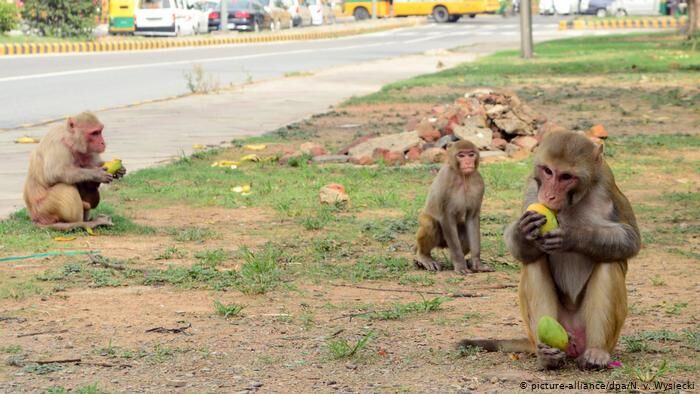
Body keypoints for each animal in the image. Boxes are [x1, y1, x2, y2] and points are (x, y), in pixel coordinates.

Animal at [416, 141, 492, 274]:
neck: (463, 177)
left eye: (471, 154)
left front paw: (476, 262)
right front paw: (460, 265)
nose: (468, 162)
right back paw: (424, 257)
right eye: (461, 156)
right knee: (429, 223)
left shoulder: (479, 183)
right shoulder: (446, 180)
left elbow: (472, 218)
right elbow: (446, 217)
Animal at [460, 131, 640, 370]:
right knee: (534, 262)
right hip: (542, 330)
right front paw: (523, 232)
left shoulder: (607, 183)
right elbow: (523, 253)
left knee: (609, 262)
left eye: (566, 177)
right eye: (547, 171)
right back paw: (548, 356)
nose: (549, 196)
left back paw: (596, 352)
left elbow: (630, 238)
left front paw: (573, 236)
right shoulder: (532, 187)